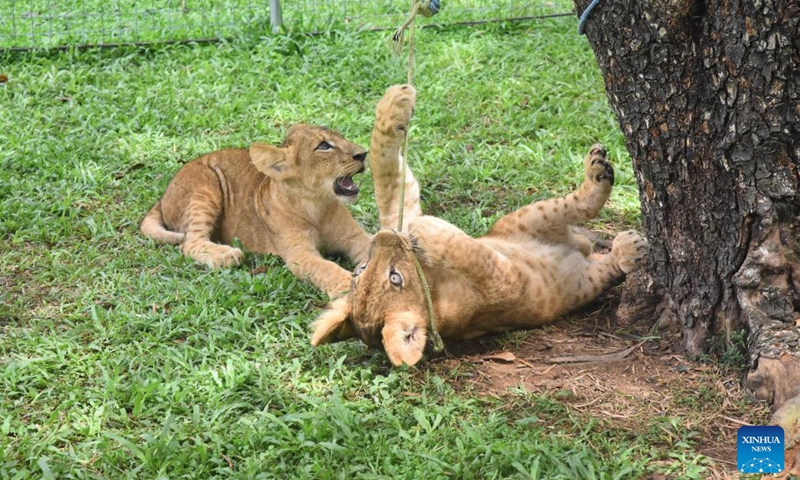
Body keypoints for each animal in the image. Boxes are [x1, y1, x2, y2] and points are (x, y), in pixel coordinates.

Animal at [140, 124, 372, 297]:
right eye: (324, 146)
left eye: (340, 137)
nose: (363, 154)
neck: (317, 205)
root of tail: (163, 196)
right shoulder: (300, 254)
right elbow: (326, 268)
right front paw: (350, 288)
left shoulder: (356, 237)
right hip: (205, 186)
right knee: (189, 243)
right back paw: (226, 255)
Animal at [311, 85, 649, 366]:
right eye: (395, 278)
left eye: (360, 268)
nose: (382, 236)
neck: (433, 282)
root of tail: (578, 248)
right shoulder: (508, 283)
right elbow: (475, 256)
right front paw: (428, 229)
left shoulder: (399, 214)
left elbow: (386, 175)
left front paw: (394, 102)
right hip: (557, 256)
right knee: (598, 241)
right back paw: (627, 242)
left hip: (520, 220)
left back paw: (597, 169)